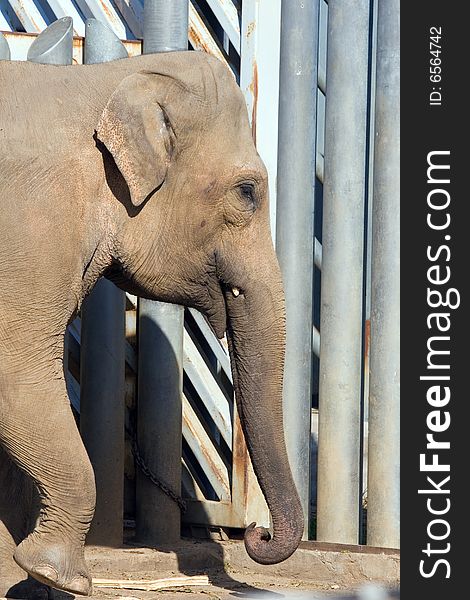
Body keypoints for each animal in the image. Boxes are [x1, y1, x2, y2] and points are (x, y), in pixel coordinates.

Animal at [0, 51, 302, 596]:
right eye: (248, 192)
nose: (257, 532)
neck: (108, 77)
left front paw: (32, 584)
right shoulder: (32, 226)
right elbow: (19, 370)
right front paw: (59, 575)